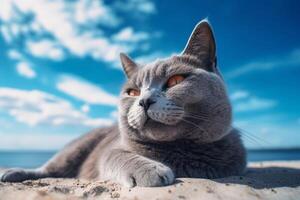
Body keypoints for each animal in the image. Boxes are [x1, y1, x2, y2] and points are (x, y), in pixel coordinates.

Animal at [0, 19, 246, 188]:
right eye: (133, 92)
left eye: (175, 81)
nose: (144, 101)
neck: (179, 150)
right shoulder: (111, 150)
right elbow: (118, 155)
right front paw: (151, 170)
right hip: (75, 149)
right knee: (49, 168)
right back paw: (12, 173)